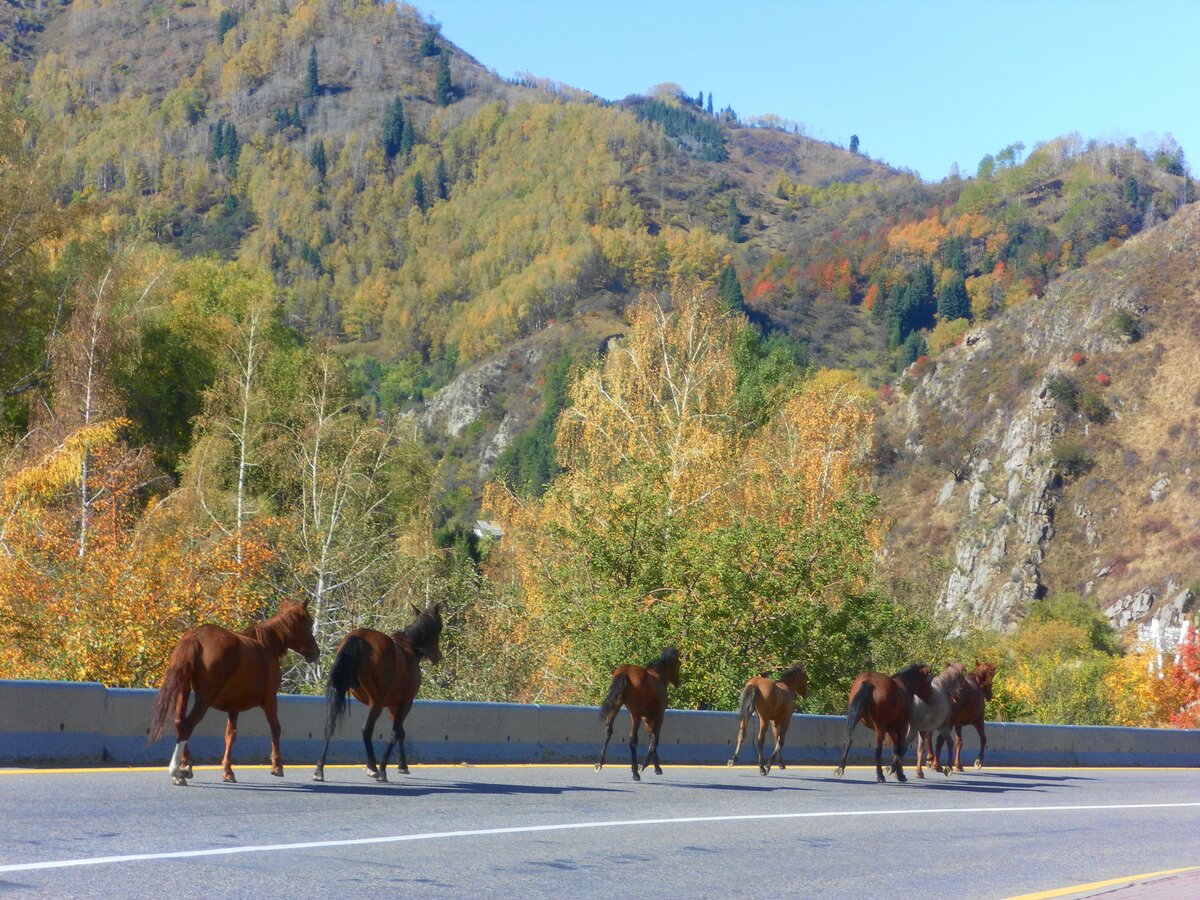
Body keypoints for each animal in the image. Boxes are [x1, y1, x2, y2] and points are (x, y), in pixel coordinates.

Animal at [149, 599, 319, 786]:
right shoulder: (270, 700)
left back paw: (185, 766)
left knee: (180, 722)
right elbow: (275, 728)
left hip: (184, 691)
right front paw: (277, 765)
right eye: (309, 623)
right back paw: (176, 771)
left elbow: (230, 735)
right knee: (188, 725)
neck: (266, 645)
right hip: (205, 697)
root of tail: (195, 637)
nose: (316, 652)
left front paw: (227, 771)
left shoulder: (234, 705)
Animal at [313, 603, 443, 783]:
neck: (409, 647)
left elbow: (401, 732)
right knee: (366, 729)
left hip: (339, 690)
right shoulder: (406, 702)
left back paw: (320, 768)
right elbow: (395, 733)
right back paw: (373, 767)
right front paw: (383, 769)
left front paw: (402, 765)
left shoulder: (393, 705)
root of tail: (358, 639)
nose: (437, 656)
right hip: (377, 701)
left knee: (330, 725)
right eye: (440, 626)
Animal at [594, 647, 681, 781]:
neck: (659, 677)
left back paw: (600, 763)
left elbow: (651, 737)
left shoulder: (646, 718)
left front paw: (657, 767)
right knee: (633, 740)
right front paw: (644, 765)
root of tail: (625, 671)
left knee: (608, 731)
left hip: (617, 705)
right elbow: (655, 739)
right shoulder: (659, 715)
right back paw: (636, 772)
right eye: (678, 664)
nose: (678, 682)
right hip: (635, 714)